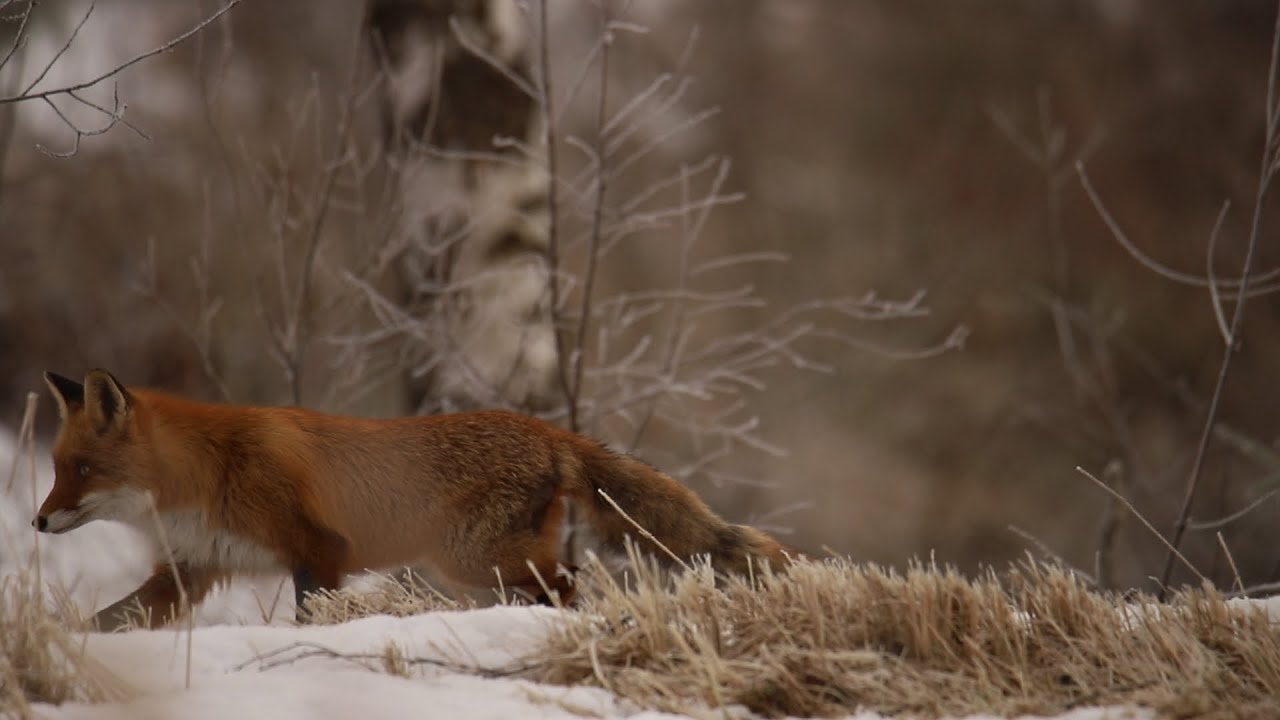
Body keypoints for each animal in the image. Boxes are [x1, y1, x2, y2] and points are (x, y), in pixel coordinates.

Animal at [34, 369, 799, 630]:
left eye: (81, 468)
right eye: (55, 467)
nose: (38, 520)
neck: (207, 474)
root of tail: (548, 430)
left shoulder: (320, 550)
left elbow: (311, 616)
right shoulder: (188, 572)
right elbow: (105, 623)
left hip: (473, 559)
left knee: (569, 582)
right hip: (481, 568)